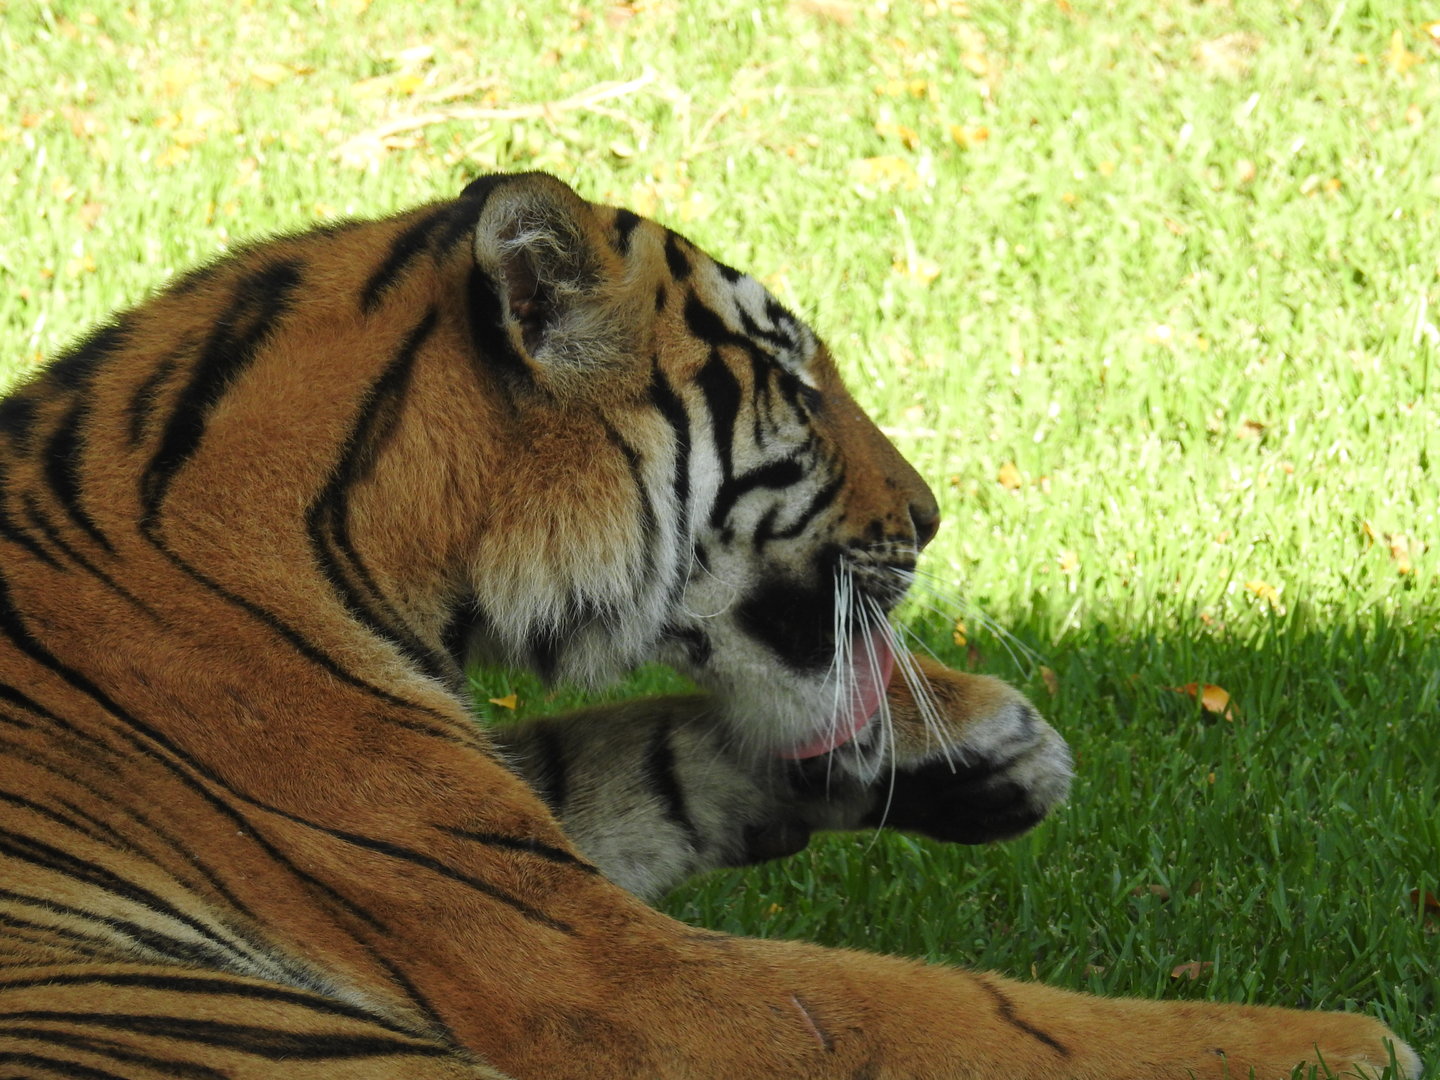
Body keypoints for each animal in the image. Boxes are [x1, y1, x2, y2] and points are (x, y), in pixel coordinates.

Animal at [0, 170, 1418, 1079]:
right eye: (795, 379)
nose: (933, 512)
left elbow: (640, 751)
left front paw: (978, 740)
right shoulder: (588, 973)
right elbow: (960, 1014)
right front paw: (1340, 1045)